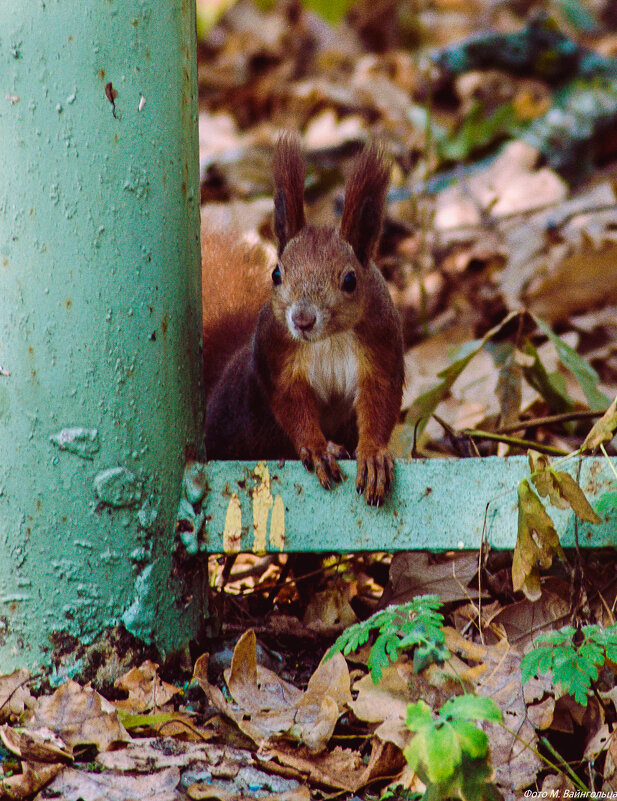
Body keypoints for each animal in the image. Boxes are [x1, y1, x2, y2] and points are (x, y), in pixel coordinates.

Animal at [203, 133, 404, 506]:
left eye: (350, 280)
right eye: (276, 274)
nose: (302, 319)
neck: (330, 339)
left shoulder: (381, 343)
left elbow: (379, 401)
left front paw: (373, 455)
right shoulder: (276, 352)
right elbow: (292, 404)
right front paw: (318, 449)